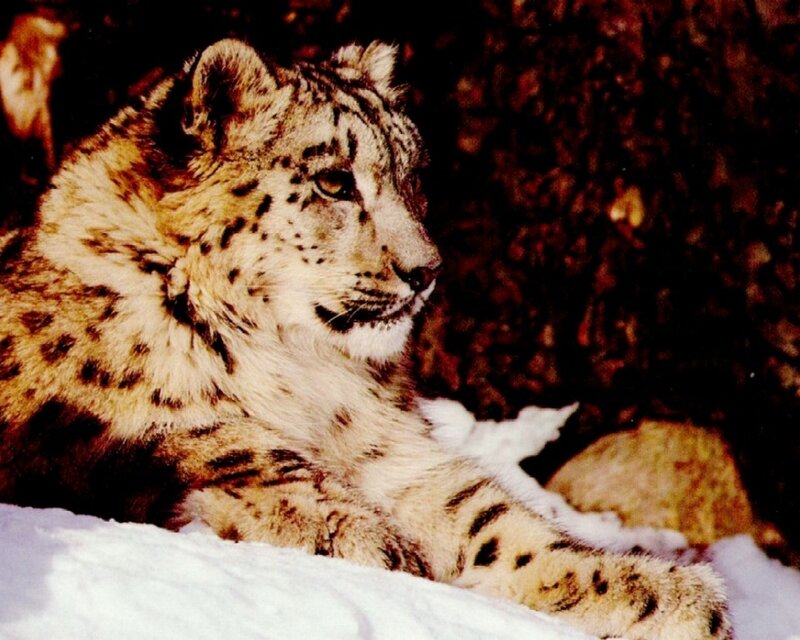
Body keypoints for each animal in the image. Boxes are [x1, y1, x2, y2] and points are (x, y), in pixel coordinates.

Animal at [0, 38, 732, 639]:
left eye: (413, 178)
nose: (426, 270)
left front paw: (666, 596)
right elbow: (257, 466)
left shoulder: (402, 459)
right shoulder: (173, 432)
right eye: (333, 180)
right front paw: (373, 544)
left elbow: (493, 522)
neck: (309, 380)